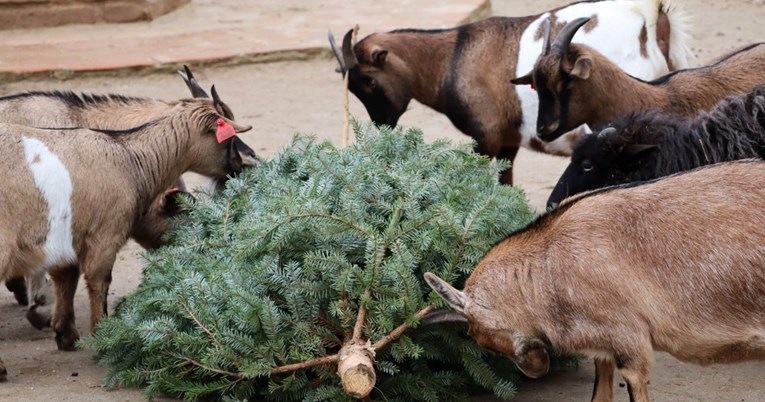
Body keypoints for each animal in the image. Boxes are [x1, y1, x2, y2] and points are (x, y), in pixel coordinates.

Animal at [0, 99, 251, 382]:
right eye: (228, 139)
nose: (238, 167)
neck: (130, 158)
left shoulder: (68, 236)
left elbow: (66, 279)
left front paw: (66, 334)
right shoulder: (105, 235)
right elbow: (99, 282)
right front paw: (103, 335)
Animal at [328, 0, 692, 185]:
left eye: (370, 82)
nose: (382, 125)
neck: (454, 56)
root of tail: (648, 14)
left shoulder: (486, 139)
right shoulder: (508, 142)